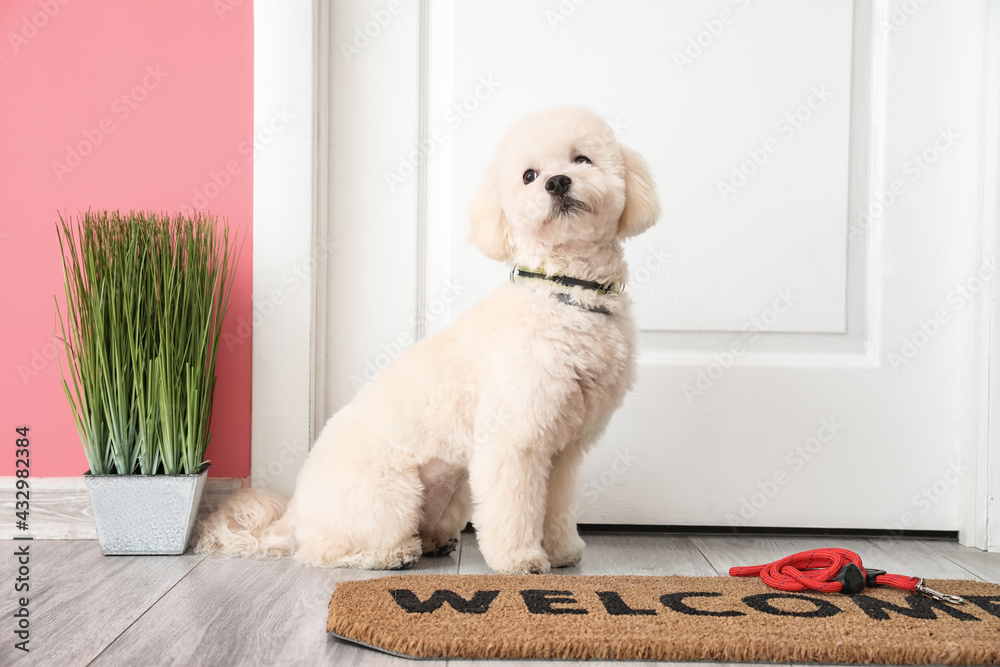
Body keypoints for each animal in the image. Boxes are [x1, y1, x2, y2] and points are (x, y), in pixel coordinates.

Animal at [198, 105, 660, 576]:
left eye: (582, 159)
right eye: (529, 176)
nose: (557, 182)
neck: (567, 292)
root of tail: (293, 513)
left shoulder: (563, 449)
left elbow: (558, 506)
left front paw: (563, 551)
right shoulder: (515, 441)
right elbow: (514, 508)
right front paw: (521, 559)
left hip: (456, 489)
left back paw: (436, 540)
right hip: (390, 496)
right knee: (324, 550)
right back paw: (391, 554)